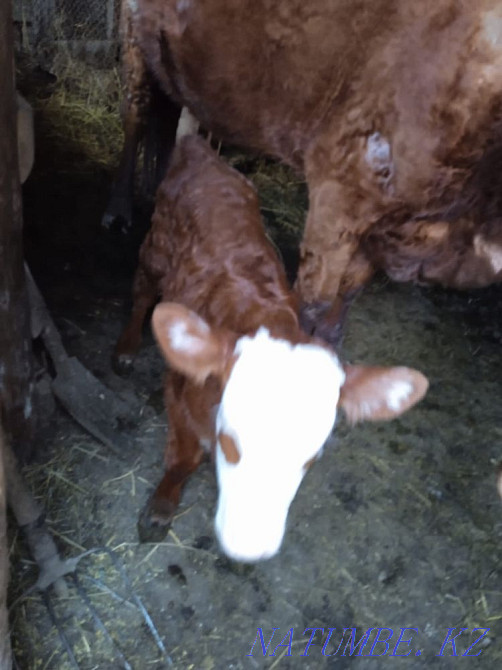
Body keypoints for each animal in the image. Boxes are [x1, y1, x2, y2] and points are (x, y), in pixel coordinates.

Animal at [115, 135, 428, 561]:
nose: (249, 546)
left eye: (310, 459)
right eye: (229, 442)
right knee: (142, 291)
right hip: (157, 247)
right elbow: (183, 457)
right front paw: (161, 507)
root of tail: (200, 150)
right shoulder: (178, 392)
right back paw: (126, 347)